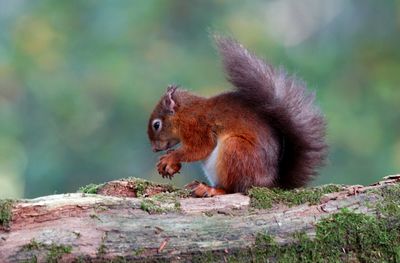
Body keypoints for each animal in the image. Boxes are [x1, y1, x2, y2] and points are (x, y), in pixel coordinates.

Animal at [148, 36, 328, 197]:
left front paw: (170, 158)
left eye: (156, 125)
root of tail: (269, 183)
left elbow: (200, 148)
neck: (186, 113)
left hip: (236, 150)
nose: (154, 149)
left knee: (233, 189)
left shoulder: (198, 127)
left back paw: (211, 190)